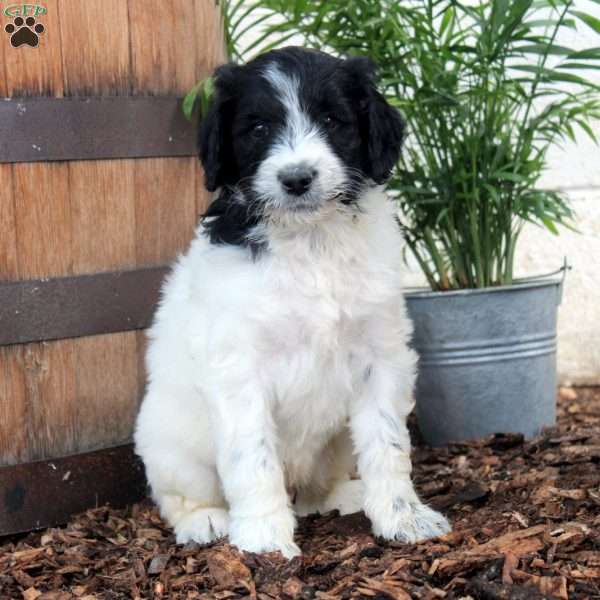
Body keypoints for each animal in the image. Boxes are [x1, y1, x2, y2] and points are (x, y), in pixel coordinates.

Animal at [134, 47, 448, 556]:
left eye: (332, 119)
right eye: (259, 128)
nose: (297, 178)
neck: (310, 240)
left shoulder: (381, 356)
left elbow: (387, 443)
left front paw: (404, 517)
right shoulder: (239, 368)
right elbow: (252, 456)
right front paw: (263, 539)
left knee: (320, 488)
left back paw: (345, 496)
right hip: (171, 442)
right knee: (179, 494)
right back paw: (205, 521)